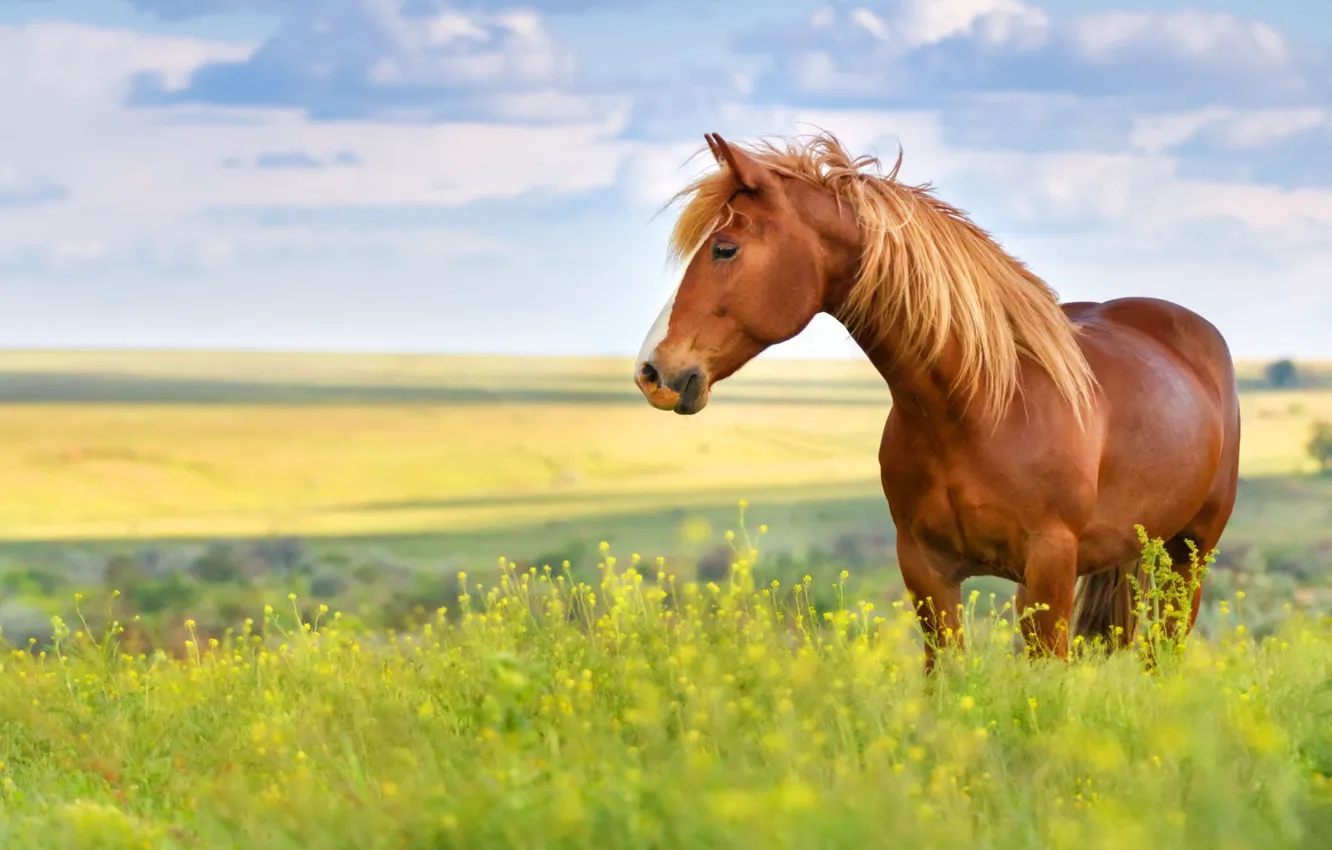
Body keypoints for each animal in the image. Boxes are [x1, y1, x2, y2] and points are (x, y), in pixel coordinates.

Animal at [628, 131, 1241, 671]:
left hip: (1189, 557)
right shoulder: (927, 571)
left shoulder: (1048, 571)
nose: (651, 372)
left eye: (725, 249)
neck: (977, 410)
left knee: (1165, 653)